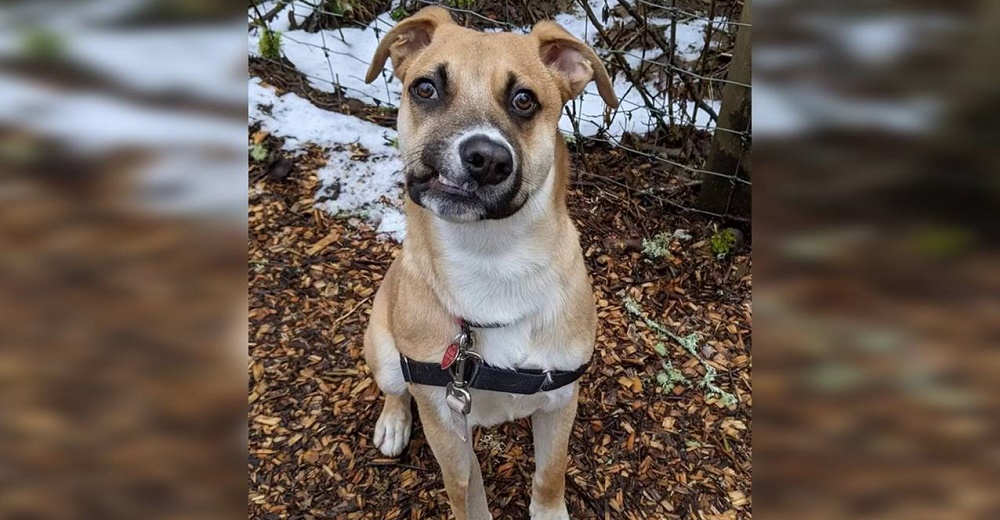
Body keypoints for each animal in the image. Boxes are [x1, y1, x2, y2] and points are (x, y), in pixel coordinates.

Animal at [364, 8, 616, 520]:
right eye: (425, 88)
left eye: (524, 100)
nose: (484, 157)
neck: (493, 261)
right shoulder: (445, 422)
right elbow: (464, 489)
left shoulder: (561, 400)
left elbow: (550, 473)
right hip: (382, 350)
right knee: (395, 390)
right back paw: (393, 424)